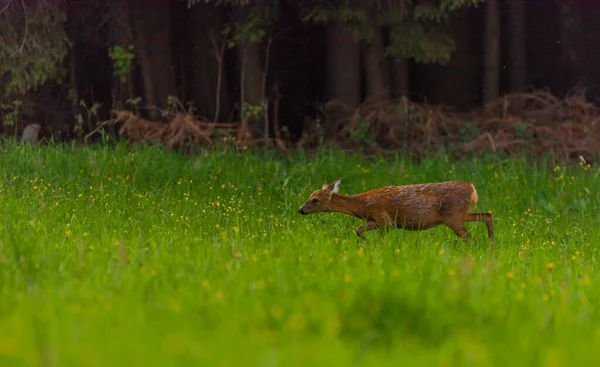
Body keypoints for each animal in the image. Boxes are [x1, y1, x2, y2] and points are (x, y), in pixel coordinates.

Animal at [298, 178, 494, 244]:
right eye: (309, 196)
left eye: (314, 200)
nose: (300, 210)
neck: (361, 205)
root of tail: (471, 189)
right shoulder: (382, 222)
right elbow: (360, 230)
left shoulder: (383, 218)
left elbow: (359, 230)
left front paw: (370, 244)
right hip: (460, 214)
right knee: (487, 215)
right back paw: (492, 245)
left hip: (453, 216)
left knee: (471, 238)